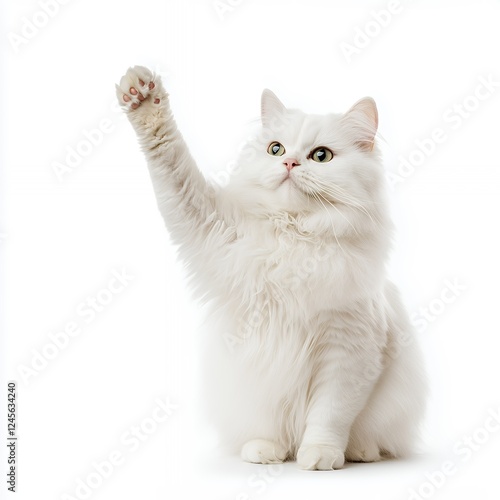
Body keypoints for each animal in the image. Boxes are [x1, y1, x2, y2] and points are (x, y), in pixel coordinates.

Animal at [116, 65, 426, 468]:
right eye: (275, 148)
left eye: (321, 156)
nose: (289, 163)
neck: (294, 233)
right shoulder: (207, 223)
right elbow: (170, 158)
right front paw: (141, 95)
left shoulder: (349, 350)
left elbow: (330, 415)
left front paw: (320, 456)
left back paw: (360, 453)